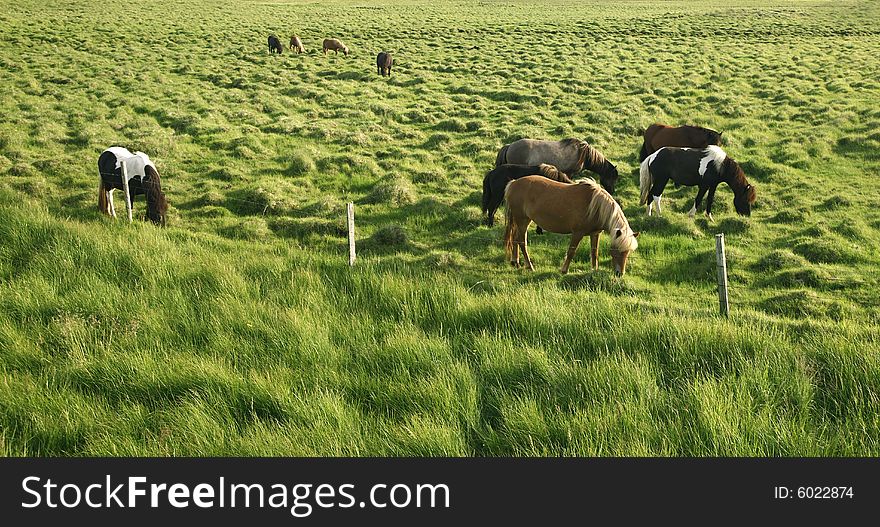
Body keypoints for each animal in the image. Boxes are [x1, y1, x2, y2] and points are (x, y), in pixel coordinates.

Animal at [502, 177, 640, 276]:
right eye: (616, 251)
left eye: (627, 252)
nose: (619, 274)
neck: (596, 207)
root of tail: (513, 183)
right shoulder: (577, 233)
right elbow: (571, 252)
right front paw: (564, 270)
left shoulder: (595, 233)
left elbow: (594, 252)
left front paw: (593, 270)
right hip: (522, 220)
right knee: (521, 241)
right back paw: (530, 267)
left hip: (520, 221)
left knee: (515, 238)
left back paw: (516, 262)